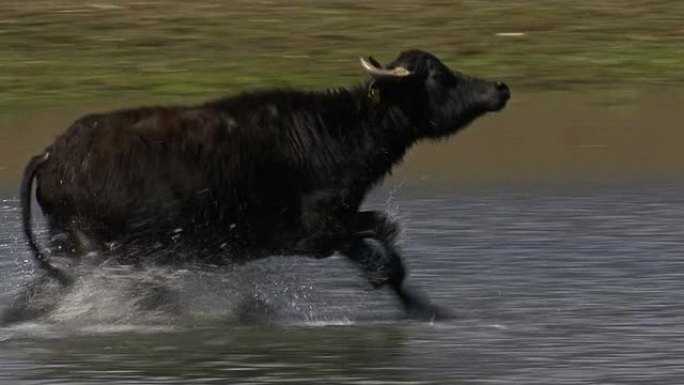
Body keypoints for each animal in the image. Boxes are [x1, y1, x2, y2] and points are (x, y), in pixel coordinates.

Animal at [20, 48, 508, 318]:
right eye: (438, 75)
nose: (500, 87)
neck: (333, 134)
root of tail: (50, 154)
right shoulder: (315, 233)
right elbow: (387, 231)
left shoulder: (335, 229)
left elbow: (388, 262)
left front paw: (423, 308)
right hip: (97, 249)